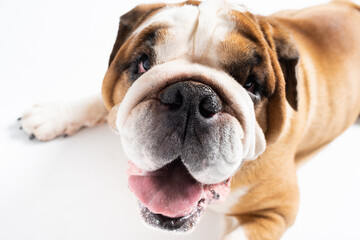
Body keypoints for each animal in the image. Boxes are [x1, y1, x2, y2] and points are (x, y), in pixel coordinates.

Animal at [19, 0, 360, 239]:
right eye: (144, 64)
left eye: (251, 85)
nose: (193, 97)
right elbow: (101, 101)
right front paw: (52, 114)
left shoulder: (276, 211)